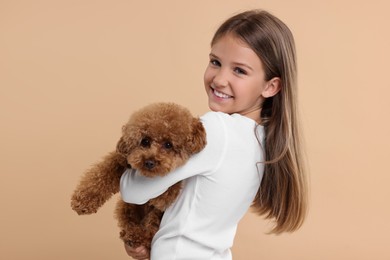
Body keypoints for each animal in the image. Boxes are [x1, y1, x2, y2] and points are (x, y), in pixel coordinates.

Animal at [70, 102, 206, 251]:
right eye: (145, 141)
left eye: (168, 144)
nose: (149, 162)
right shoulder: (120, 159)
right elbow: (100, 175)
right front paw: (83, 201)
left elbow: (167, 194)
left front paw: (166, 194)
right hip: (126, 207)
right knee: (130, 222)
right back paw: (132, 234)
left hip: (154, 215)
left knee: (150, 231)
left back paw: (137, 237)